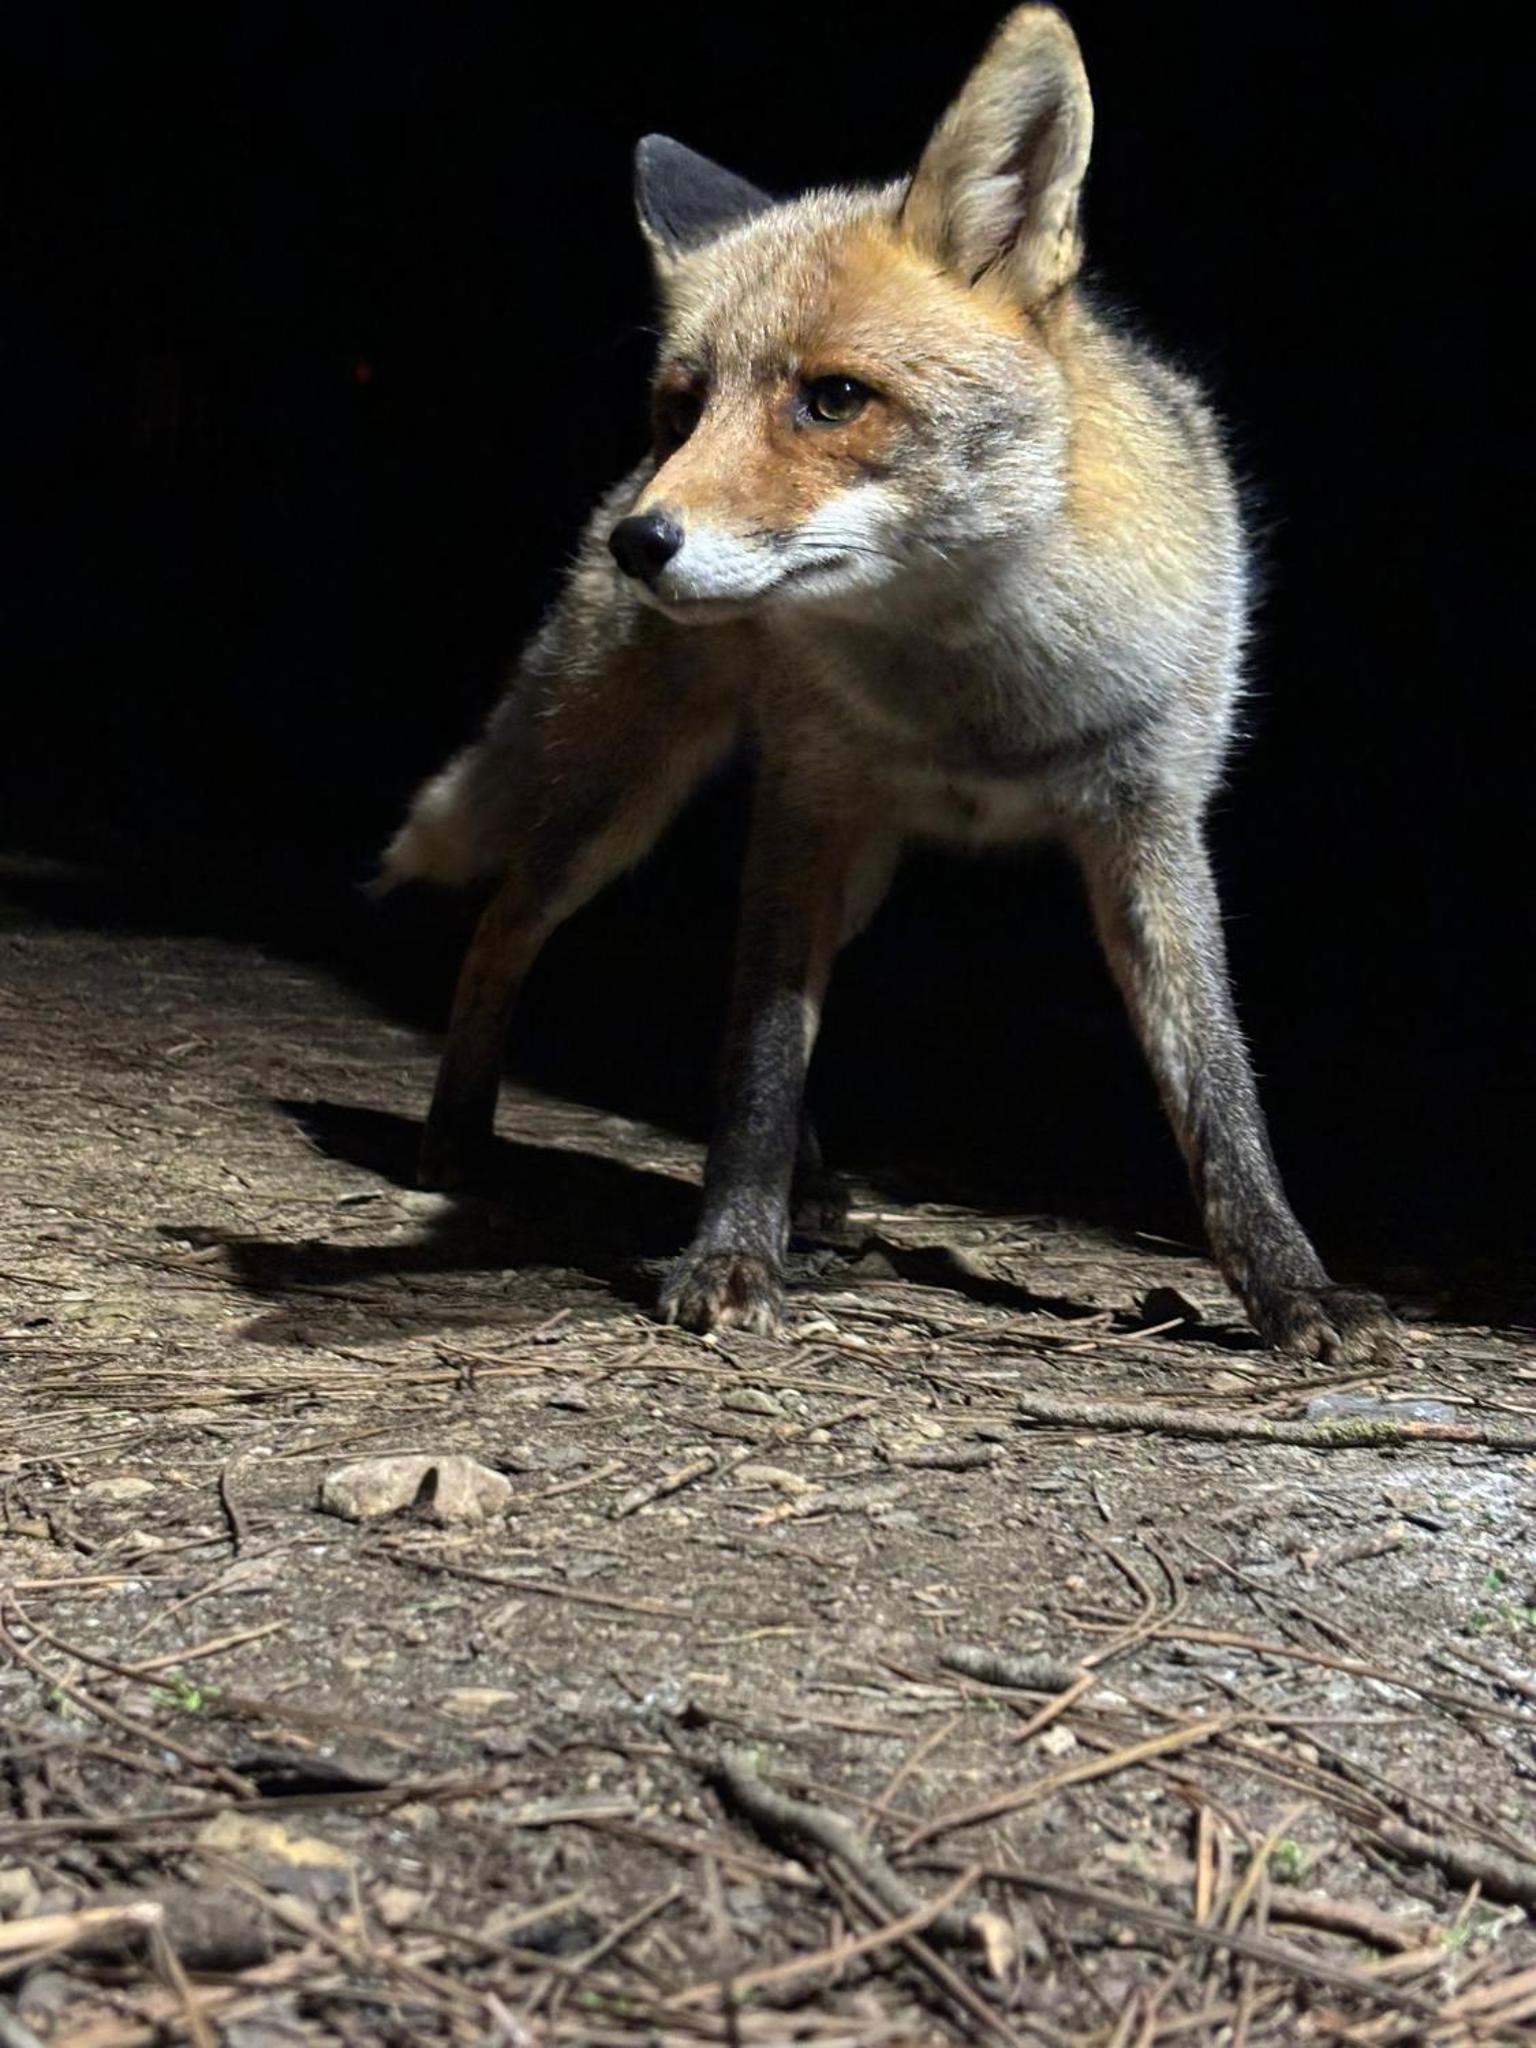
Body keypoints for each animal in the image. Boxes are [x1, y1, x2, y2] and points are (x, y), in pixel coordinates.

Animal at [385, 16, 1409, 1368]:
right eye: (682, 408)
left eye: (833, 397)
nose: (639, 543)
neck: (979, 694)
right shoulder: (809, 802)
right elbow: (760, 1063)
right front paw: (731, 1252)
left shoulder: (1149, 822)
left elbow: (1220, 1089)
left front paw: (1294, 1286)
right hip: (626, 810)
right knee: (506, 928)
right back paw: (459, 1138)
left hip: (854, 870)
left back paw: (814, 1190)